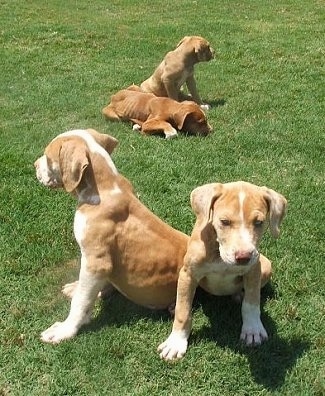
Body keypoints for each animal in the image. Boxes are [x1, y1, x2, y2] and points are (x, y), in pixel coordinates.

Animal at [34, 129, 187, 344]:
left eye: (48, 158)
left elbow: (80, 303)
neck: (103, 187)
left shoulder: (96, 262)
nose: (34, 165)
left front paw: (65, 330)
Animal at [158, 181, 286, 360]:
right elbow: (183, 310)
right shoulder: (188, 273)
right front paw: (176, 342)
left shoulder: (254, 270)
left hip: (266, 266)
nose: (243, 257)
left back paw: (239, 295)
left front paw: (252, 330)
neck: (220, 255)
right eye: (224, 221)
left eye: (259, 222)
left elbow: (251, 303)